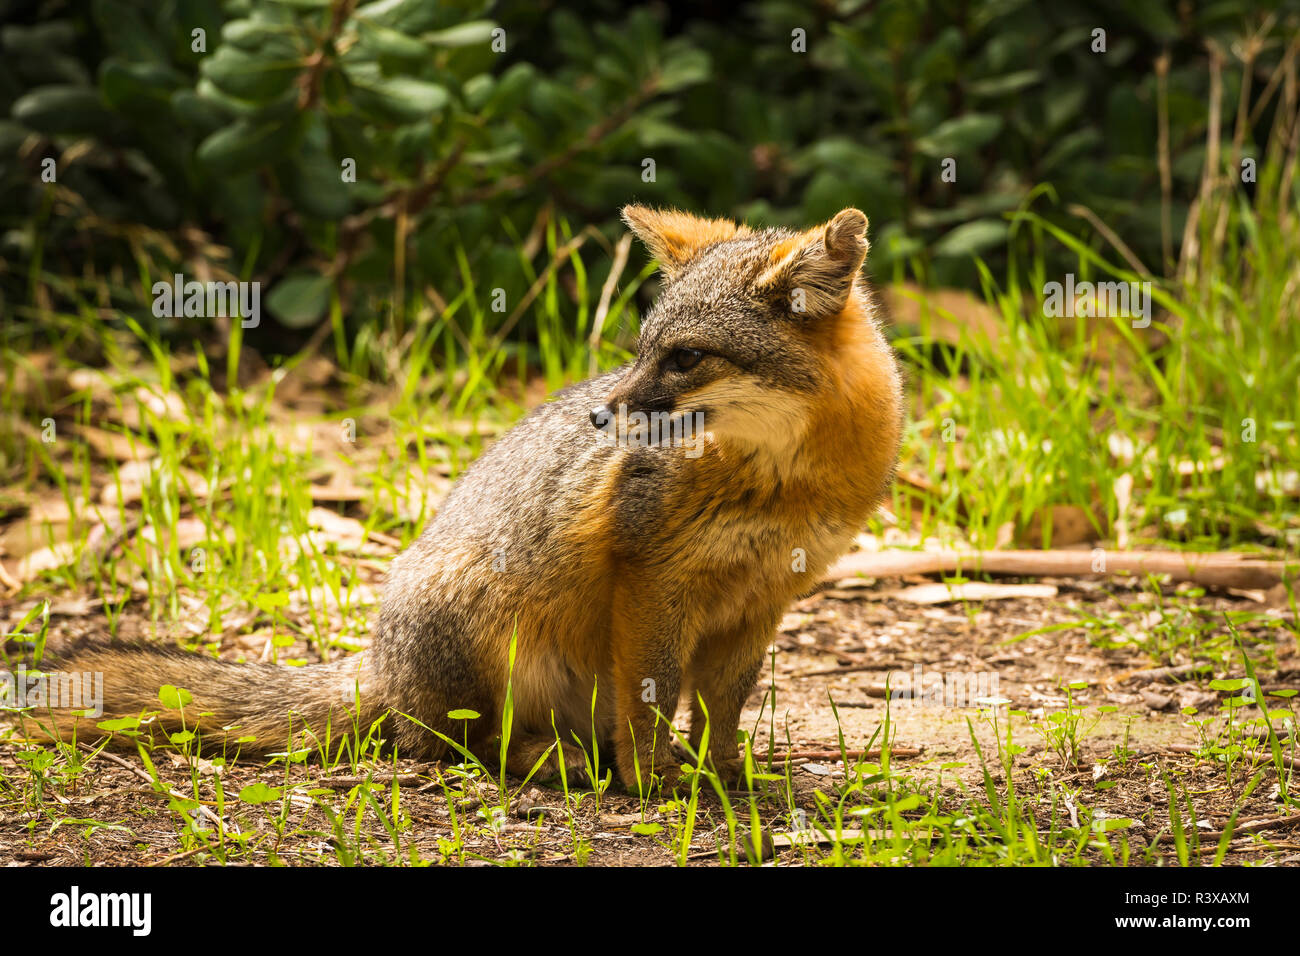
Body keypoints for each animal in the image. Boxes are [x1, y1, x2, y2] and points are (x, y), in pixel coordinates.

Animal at [40, 208, 904, 790]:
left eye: (686, 358)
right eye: (642, 351)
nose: (602, 416)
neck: (784, 480)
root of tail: (379, 666)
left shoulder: (763, 599)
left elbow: (721, 708)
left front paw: (727, 780)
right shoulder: (652, 582)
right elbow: (653, 701)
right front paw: (655, 782)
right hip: (488, 628)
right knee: (456, 747)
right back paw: (559, 762)